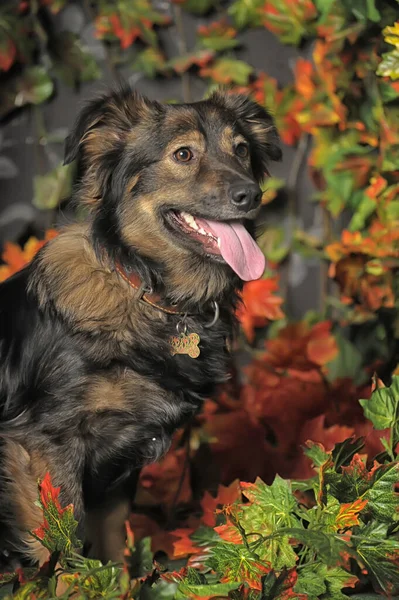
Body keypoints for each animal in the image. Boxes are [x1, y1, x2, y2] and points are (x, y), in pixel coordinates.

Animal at [0, 86, 282, 564]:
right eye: (183, 154)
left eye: (242, 150)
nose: (252, 194)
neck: (154, 295)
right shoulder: (43, 448)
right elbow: (63, 550)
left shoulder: (122, 460)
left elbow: (112, 548)